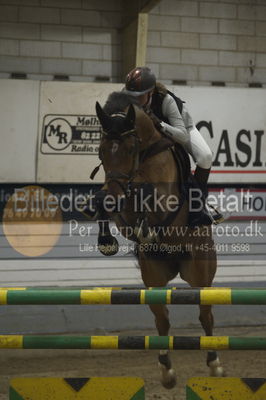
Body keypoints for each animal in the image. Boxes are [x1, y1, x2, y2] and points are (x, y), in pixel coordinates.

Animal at [94, 92, 224, 390]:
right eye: (101, 150)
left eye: (130, 149)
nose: (114, 195)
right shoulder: (120, 202)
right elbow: (108, 201)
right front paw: (106, 238)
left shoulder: (164, 197)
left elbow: (148, 192)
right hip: (153, 274)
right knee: (162, 318)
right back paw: (166, 370)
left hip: (201, 271)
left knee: (205, 314)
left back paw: (214, 364)